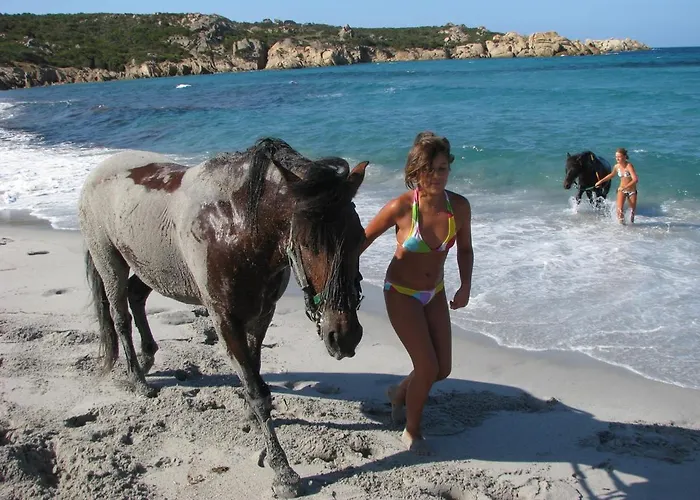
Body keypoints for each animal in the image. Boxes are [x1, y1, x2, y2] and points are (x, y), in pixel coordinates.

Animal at [78, 137, 368, 498]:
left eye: (360, 237)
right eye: (306, 243)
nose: (343, 336)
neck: (238, 226)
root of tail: (97, 173)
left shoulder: (262, 314)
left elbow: (254, 372)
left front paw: (249, 418)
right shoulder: (224, 319)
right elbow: (257, 391)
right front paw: (283, 471)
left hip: (153, 267)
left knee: (135, 297)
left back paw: (147, 359)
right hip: (109, 262)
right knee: (119, 316)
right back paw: (137, 379)